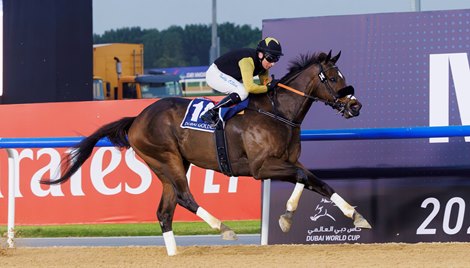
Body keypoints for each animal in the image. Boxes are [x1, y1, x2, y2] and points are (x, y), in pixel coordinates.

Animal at [41, 51, 370, 255]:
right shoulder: (262, 167)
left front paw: (354, 216)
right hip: (168, 159)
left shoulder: (287, 160)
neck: (278, 113)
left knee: (165, 210)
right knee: (185, 197)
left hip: (168, 166)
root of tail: (137, 118)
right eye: (334, 78)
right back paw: (223, 228)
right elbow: (304, 176)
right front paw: (290, 216)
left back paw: (174, 253)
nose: (355, 106)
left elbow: (315, 181)